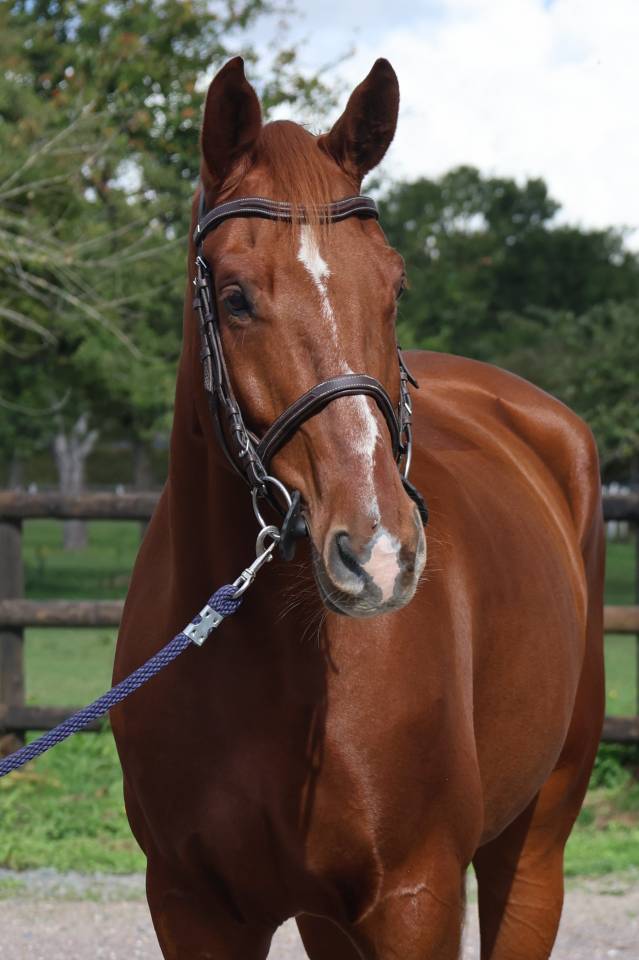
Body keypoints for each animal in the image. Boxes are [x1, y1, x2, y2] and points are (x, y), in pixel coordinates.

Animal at [112, 57, 604, 959]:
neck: (269, 665)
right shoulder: (191, 906)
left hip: (535, 844)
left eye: (394, 283)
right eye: (234, 296)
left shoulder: (414, 899)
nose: (378, 552)